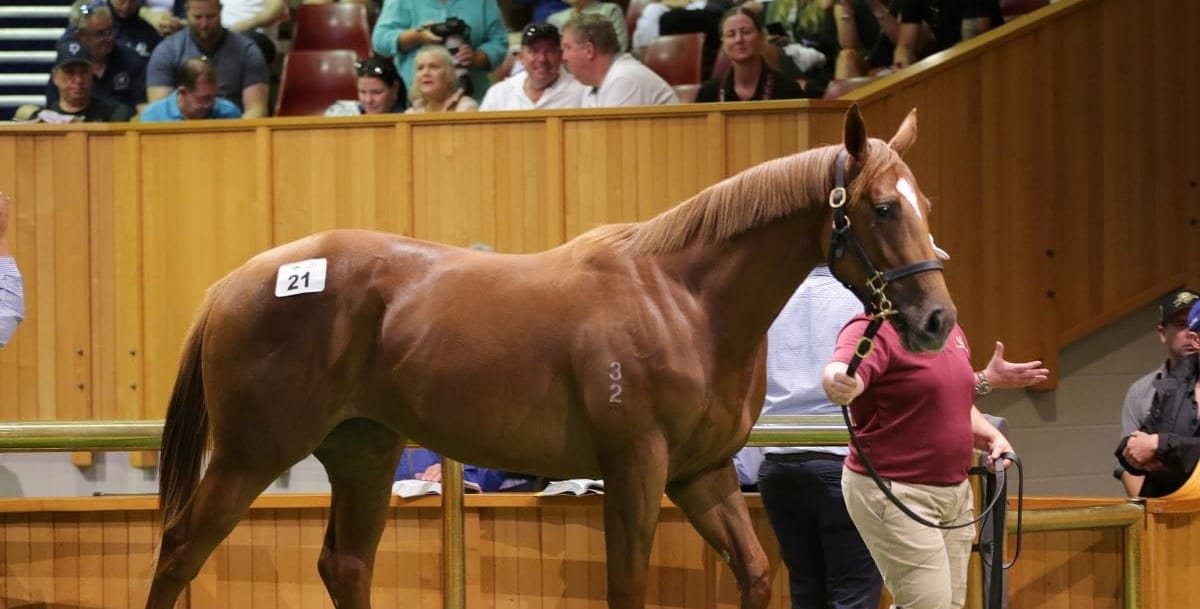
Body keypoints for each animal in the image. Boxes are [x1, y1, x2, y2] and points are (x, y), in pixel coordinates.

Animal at [145, 106, 950, 609]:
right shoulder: (635, 470)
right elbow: (626, 589)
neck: (683, 298)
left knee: (345, 566)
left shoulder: (702, 474)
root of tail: (233, 283)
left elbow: (754, 574)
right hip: (252, 454)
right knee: (180, 548)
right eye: (883, 207)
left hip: (364, 451)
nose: (936, 320)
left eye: (925, 206)